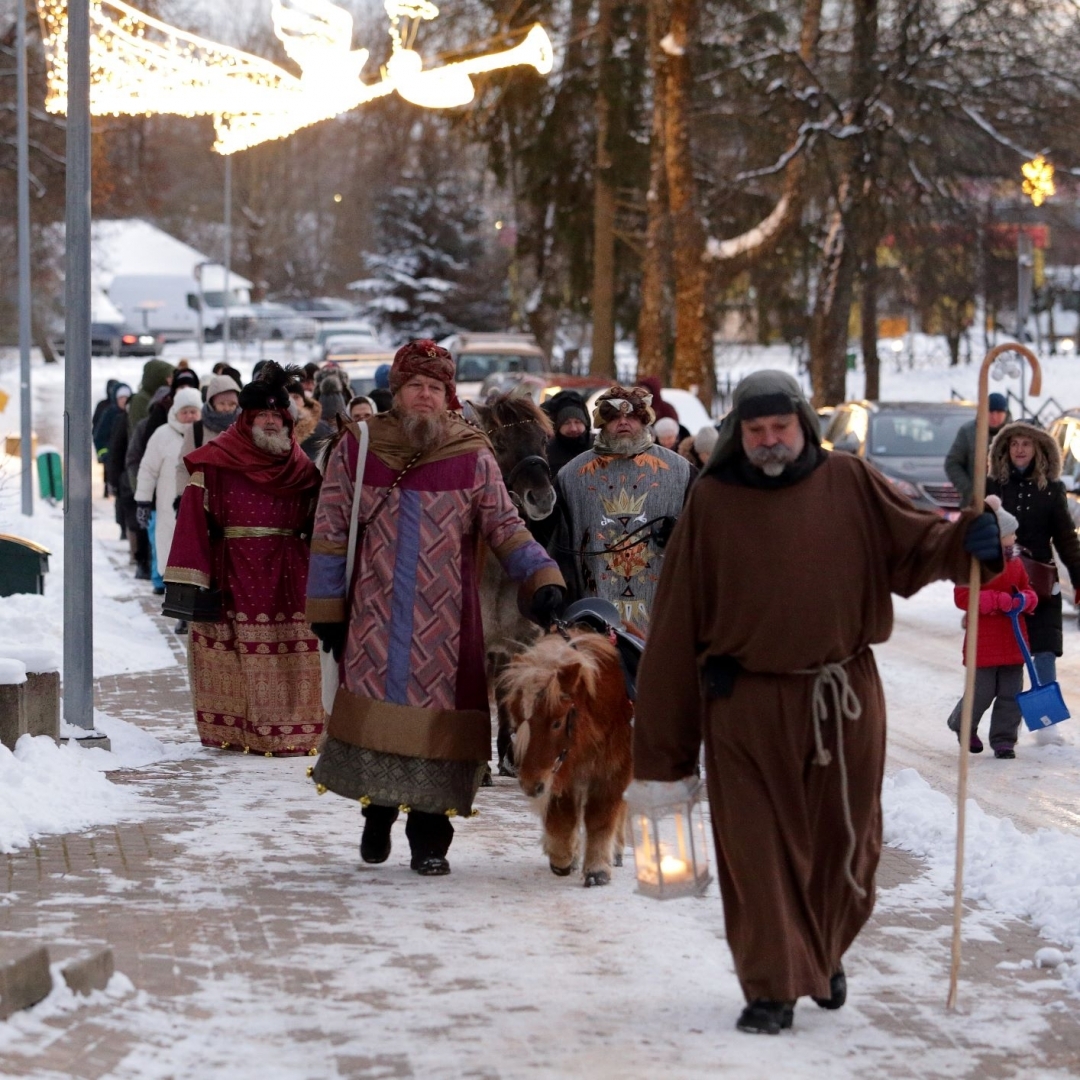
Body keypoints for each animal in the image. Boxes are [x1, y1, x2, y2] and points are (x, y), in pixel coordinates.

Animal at [496, 630, 630, 885]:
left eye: (557, 722)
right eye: (519, 719)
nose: (529, 785)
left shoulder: (613, 771)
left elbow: (601, 817)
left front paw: (597, 870)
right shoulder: (562, 772)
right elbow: (564, 814)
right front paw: (563, 858)